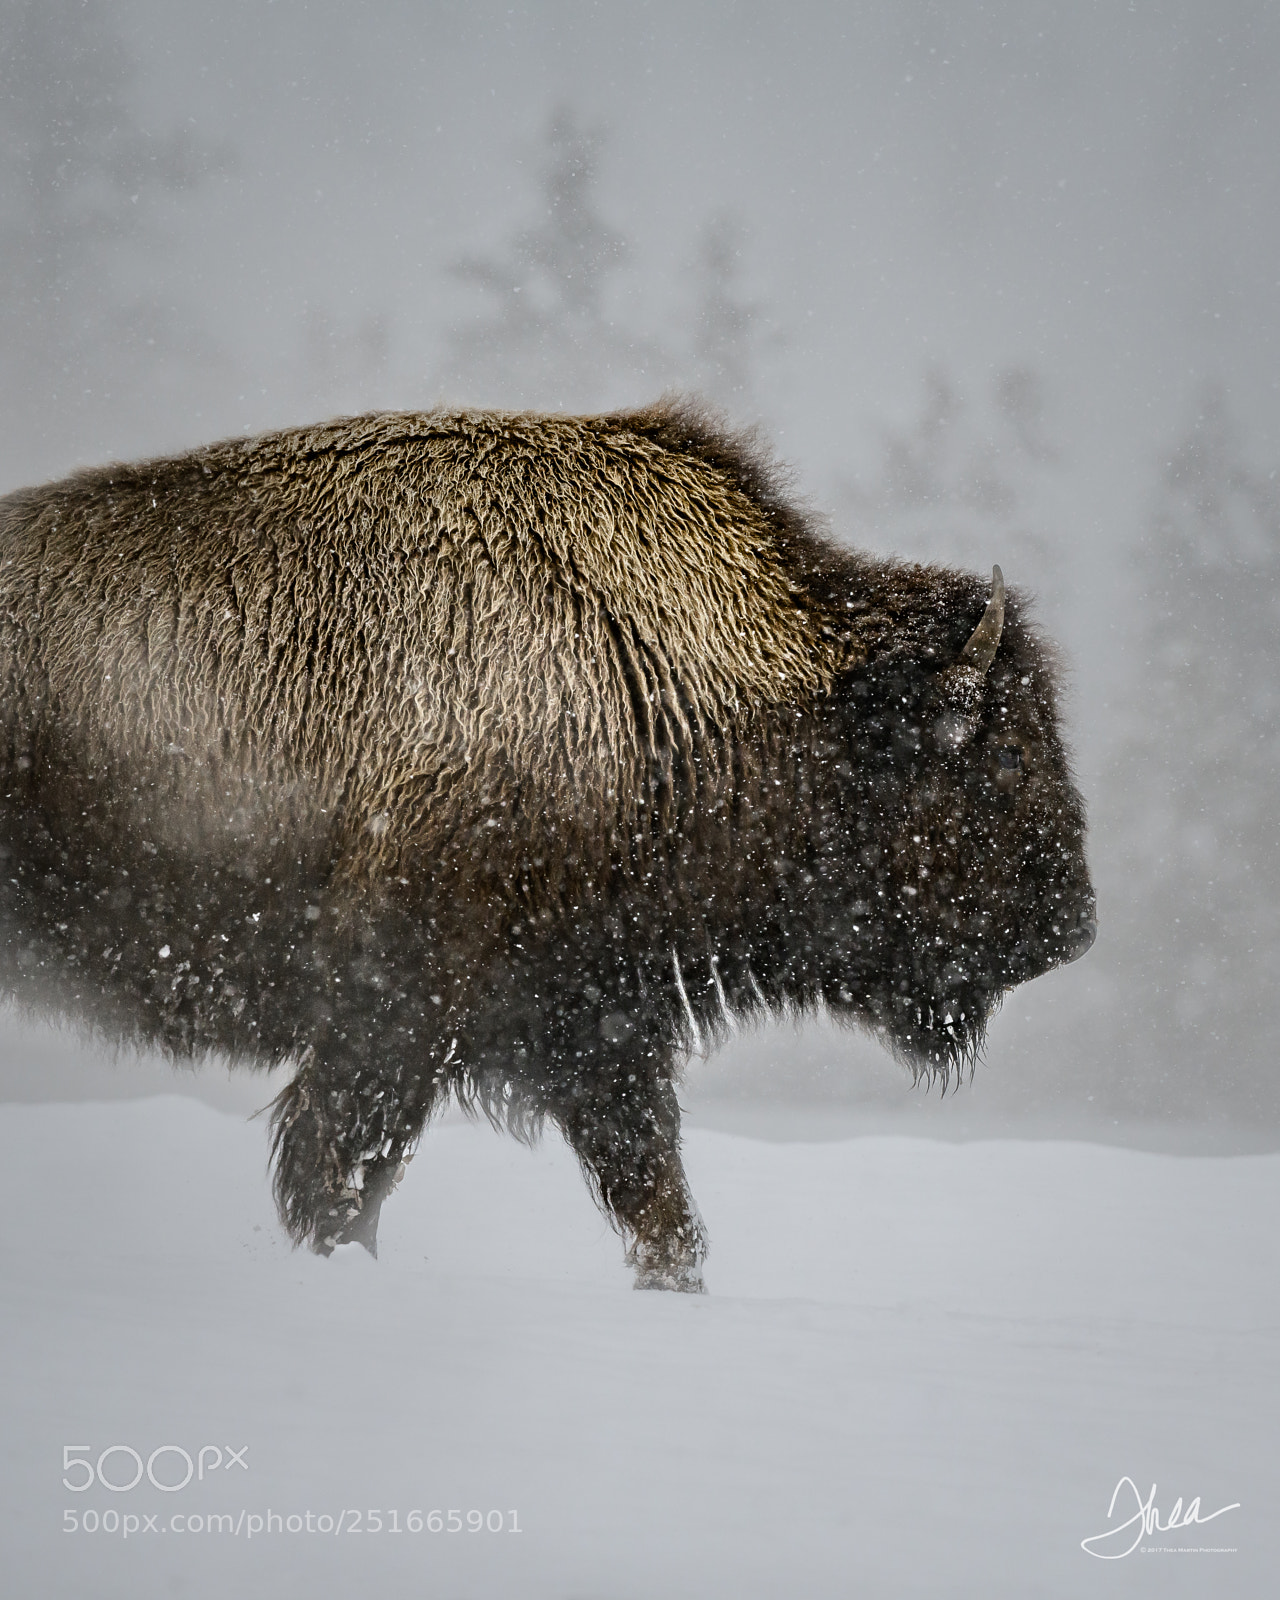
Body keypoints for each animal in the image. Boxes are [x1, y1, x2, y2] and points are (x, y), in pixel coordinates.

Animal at [0, 400, 1094, 1288]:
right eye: (1000, 757)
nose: (1073, 928)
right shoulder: (398, 1006)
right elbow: (341, 1173)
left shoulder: (589, 1010)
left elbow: (656, 1195)